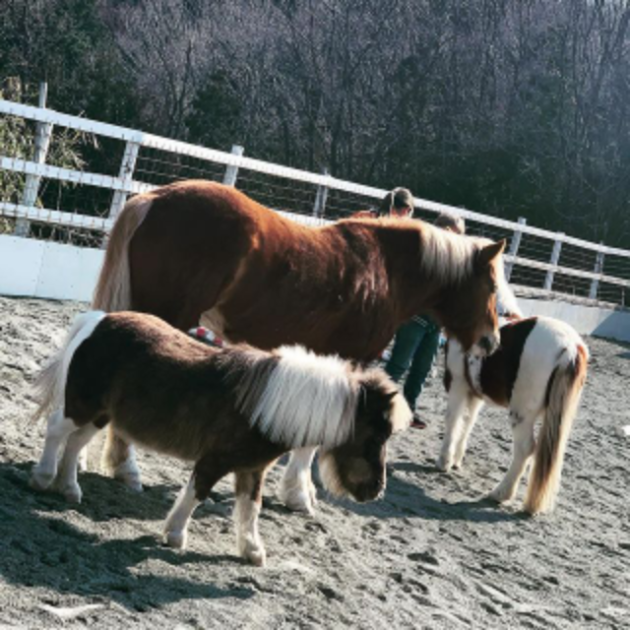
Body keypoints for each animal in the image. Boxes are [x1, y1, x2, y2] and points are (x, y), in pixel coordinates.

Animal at [30, 314, 414, 564]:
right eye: (377, 435)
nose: (376, 490)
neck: (267, 407)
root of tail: (98, 321)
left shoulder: (251, 469)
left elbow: (250, 507)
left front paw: (252, 551)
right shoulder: (214, 461)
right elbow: (197, 494)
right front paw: (175, 535)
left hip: (101, 415)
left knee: (76, 444)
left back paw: (69, 488)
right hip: (81, 406)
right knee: (56, 429)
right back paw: (44, 478)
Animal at [94, 178, 512, 512]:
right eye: (492, 286)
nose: (492, 341)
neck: (385, 270)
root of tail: (155, 197)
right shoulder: (347, 358)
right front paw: (300, 496)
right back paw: (126, 468)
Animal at [436, 318, 592, 516]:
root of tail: (570, 347)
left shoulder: (457, 384)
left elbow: (452, 420)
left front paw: (444, 461)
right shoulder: (474, 394)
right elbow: (468, 423)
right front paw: (456, 460)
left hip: (521, 413)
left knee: (525, 449)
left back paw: (500, 493)